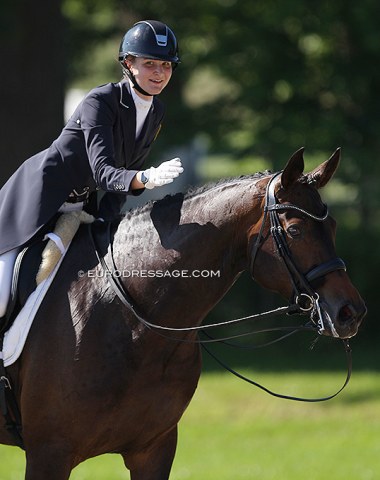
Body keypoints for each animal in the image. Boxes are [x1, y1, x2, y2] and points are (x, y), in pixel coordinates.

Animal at [0, 148, 368, 478]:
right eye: (294, 230)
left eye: (333, 226)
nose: (350, 312)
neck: (132, 322)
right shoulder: (50, 454)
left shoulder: (154, 450)